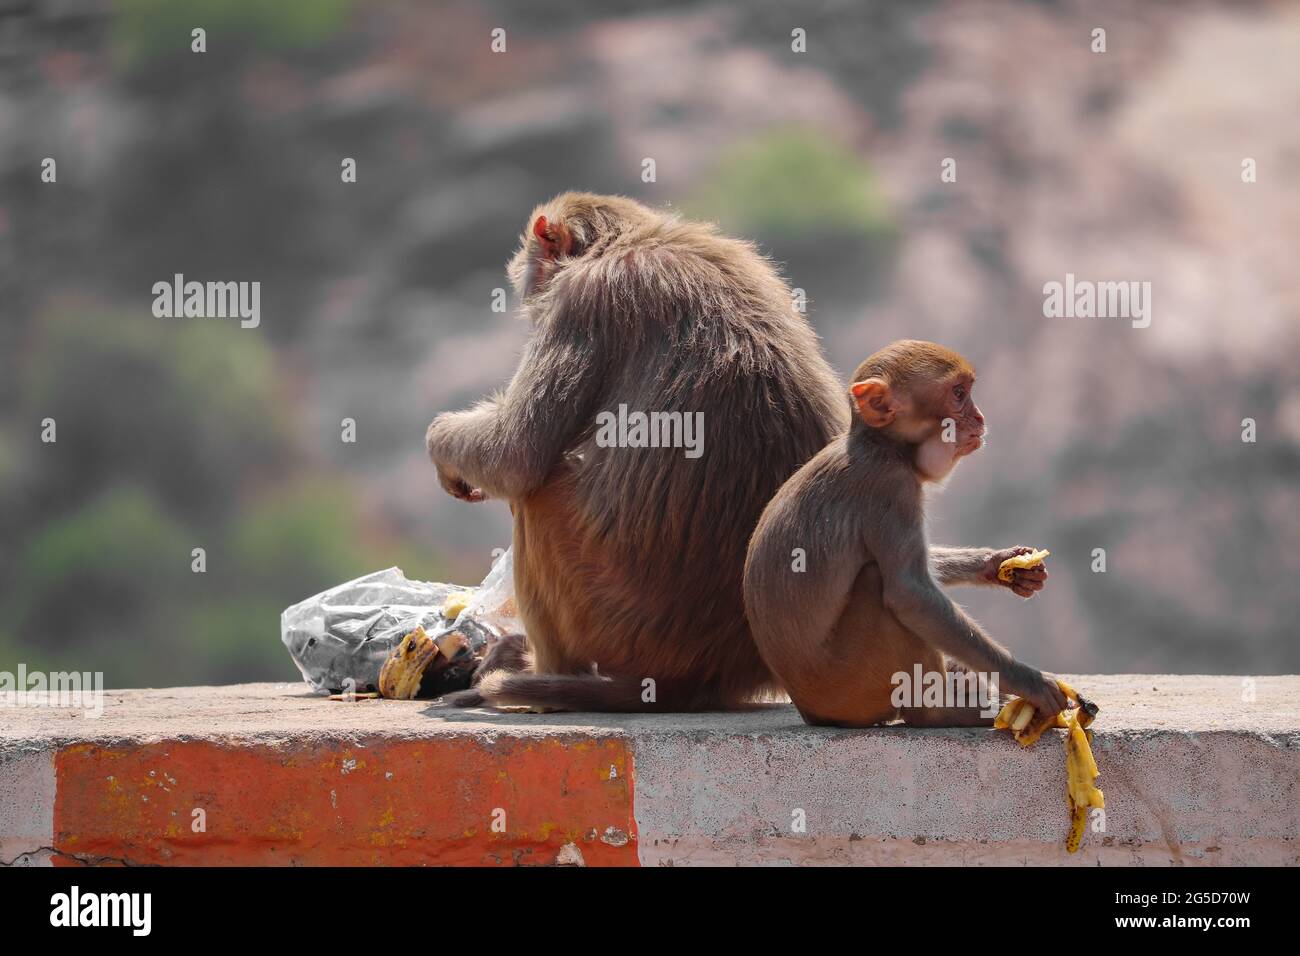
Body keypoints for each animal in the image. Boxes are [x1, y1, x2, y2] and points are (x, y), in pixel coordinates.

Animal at [428, 192, 842, 712]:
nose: (528, 282)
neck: (629, 243)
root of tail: (717, 669)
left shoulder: (581, 301)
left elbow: (517, 453)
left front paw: (441, 443)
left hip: (610, 620)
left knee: (539, 497)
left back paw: (543, 678)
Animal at [743, 340, 1066, 728]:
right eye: (958, 394)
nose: (980, 418)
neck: (886, 446)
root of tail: (810, 711)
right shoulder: (892, 486)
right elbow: (910, 593)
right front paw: (1030, 681)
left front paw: (999, 564)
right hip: (851, 685)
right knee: (879, 584)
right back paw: (936, 711)